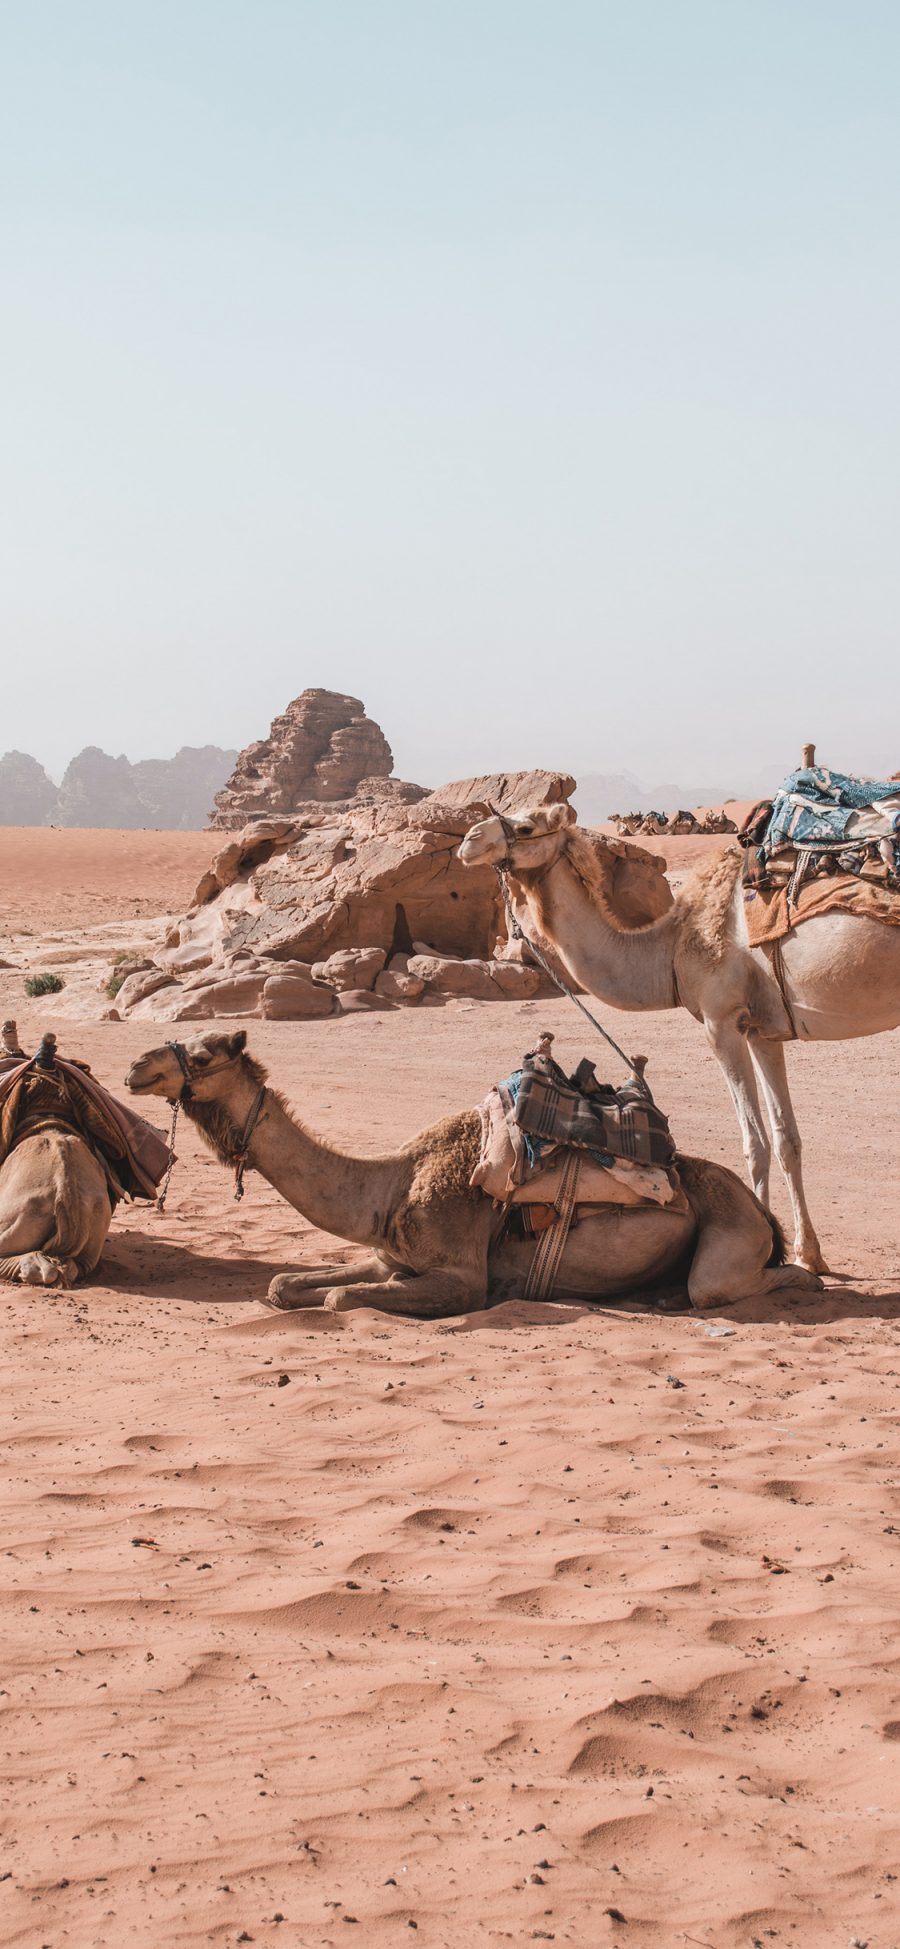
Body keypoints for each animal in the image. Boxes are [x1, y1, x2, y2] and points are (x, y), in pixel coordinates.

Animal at [126, 1029, 822, 1317]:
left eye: (204, 1055)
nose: (136, 1066)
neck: (390, 1186)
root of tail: (759, 1210)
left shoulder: (461, 1276)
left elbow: (338, 1298)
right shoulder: (388, 1256)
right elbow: (283, 1284)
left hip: (729, 1234)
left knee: (733, 1283)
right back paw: (659, 1293)